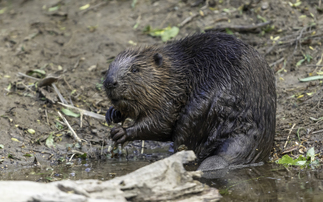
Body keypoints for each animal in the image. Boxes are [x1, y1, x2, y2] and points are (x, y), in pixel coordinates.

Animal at [105, 32, 278, 171]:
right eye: (109, 66)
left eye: (135, 69)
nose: (110, 82)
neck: (177, 72)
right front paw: (113, 114)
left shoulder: (172, 96)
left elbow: (162, 123)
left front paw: (120, 132)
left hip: (201, 110)